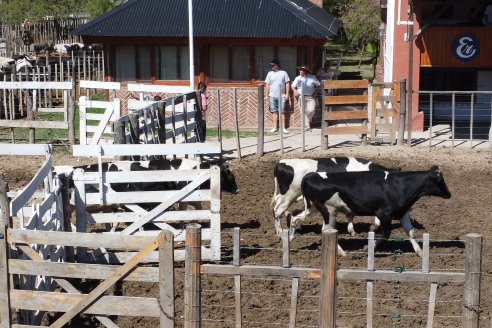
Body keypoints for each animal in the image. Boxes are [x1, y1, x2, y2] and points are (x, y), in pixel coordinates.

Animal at [296, 167, 454, 256]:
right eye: (439, 180)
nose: (449, 194)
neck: (401, 186)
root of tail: (312, 175)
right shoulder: (384, 214)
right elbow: (385, 235)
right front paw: (367, 247)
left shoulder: (403, 213)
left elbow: (411, 232)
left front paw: (419, 251)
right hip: (330, 210)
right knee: (328, 230)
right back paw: (341, 252)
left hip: (320, 209)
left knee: (316, 226)